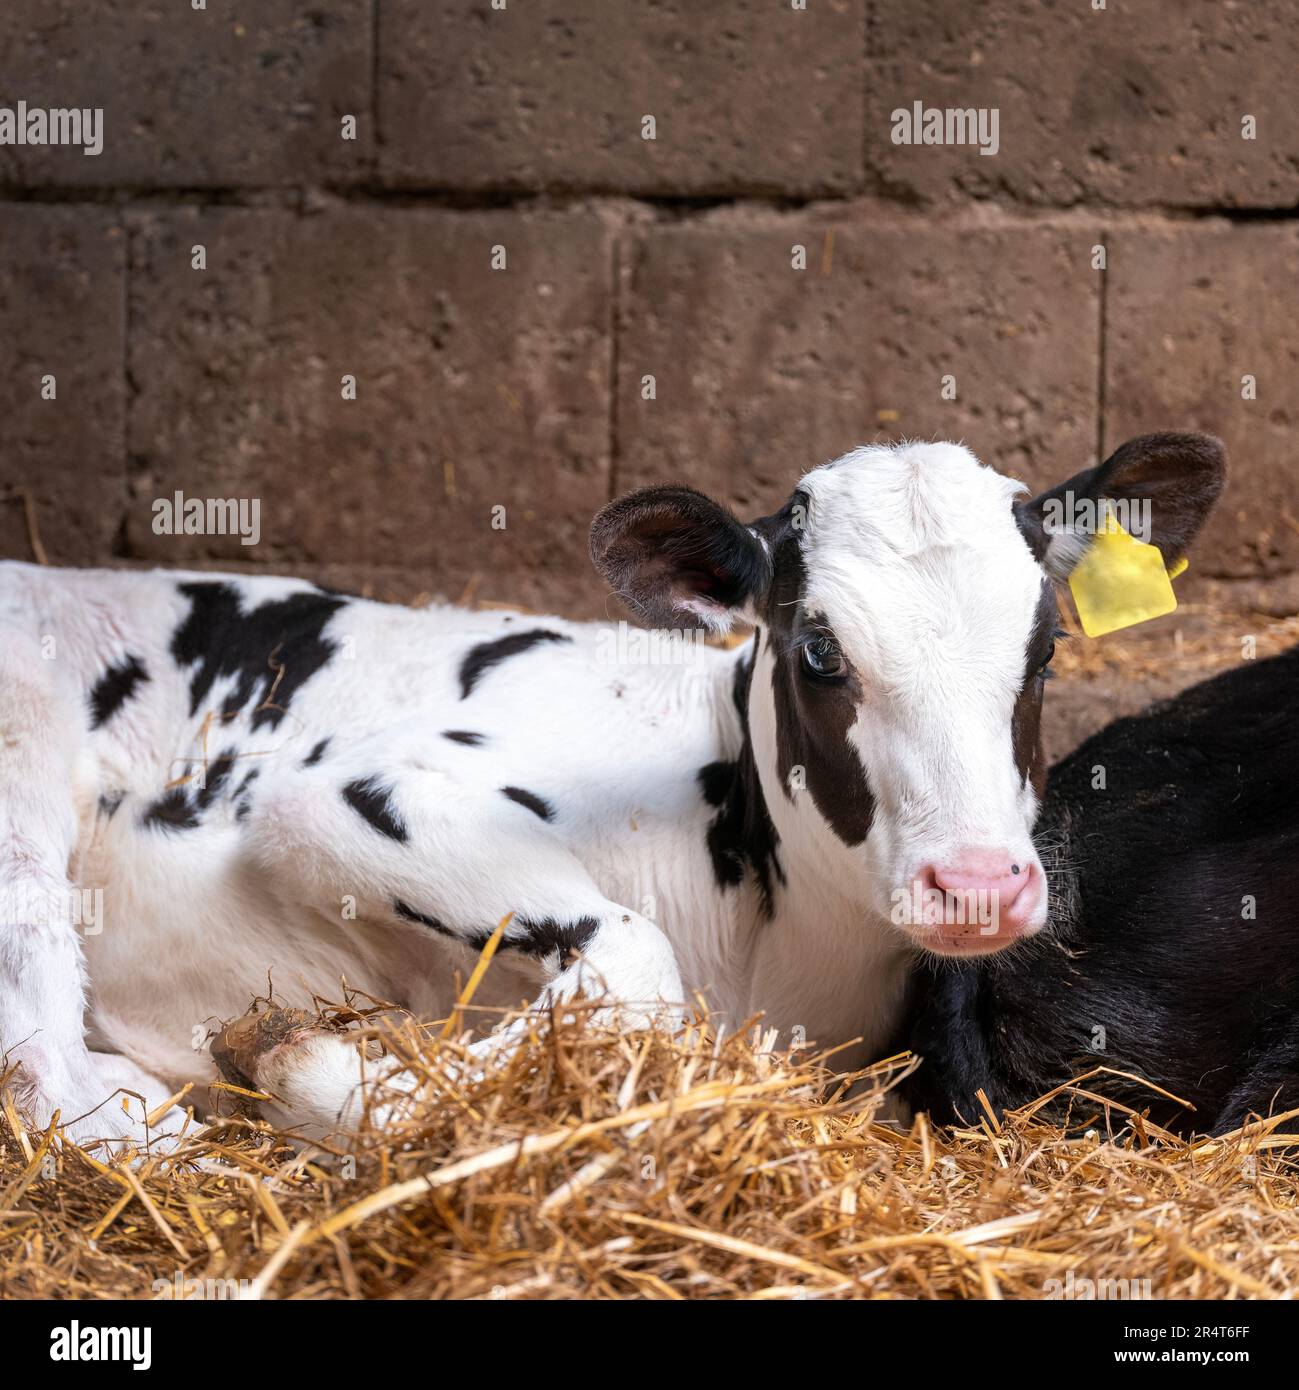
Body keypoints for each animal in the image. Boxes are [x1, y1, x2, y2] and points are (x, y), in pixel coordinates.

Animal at [0, 432, 1226, 1145]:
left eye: (1046, 651)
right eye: (818, 649)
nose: (976, 884)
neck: (776, 959)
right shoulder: (340, 788)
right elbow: (638, 954)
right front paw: (328, 1069)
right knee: (50, 1073)